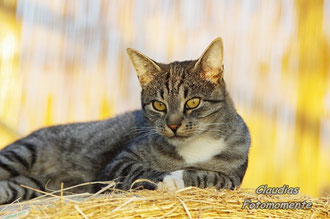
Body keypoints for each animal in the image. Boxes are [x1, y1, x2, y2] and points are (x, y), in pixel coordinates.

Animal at [0, 38, 250, 205]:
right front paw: (167, 180)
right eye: (159, 105)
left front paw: (179, 178)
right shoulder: (117, 164)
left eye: (193, 102)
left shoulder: (234, 177)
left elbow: (213, 176)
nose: (173, 125)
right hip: (24, 151)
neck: (193, 148)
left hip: (32, 186)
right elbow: (140, 170)